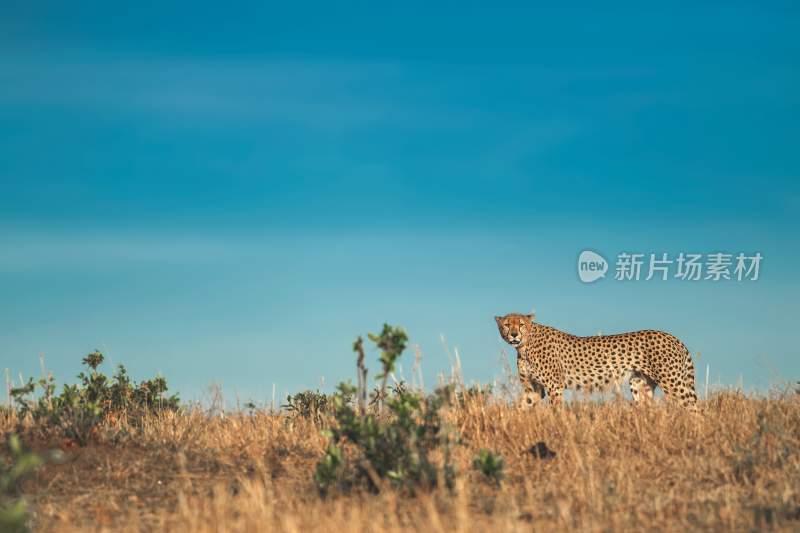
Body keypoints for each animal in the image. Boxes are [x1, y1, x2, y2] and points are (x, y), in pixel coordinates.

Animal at [496, 310, 696, 410]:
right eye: (506, 324)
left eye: (521, 324)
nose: (514, 334)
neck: (525, 345)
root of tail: (671, 336)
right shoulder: (533, 388)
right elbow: (522, 406)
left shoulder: (554, 386)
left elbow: (556, 410)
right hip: (639, 383)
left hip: (672, 383)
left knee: (693, 408)